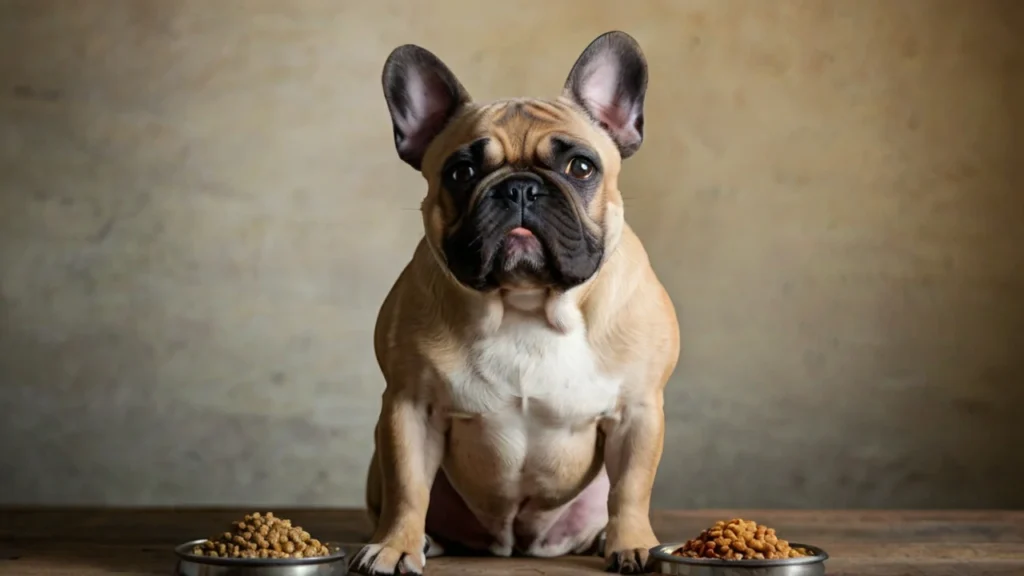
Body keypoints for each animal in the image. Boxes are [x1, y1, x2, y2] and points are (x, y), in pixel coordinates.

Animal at [352, 31, 679, 573]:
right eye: (461, 172)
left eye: (580, 167)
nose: (519, 187)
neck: (527, 303)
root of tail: (517, 544)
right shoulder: (408, 408)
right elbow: (408, 489)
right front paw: (395, 545)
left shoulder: (637, 411)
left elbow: (632, 488)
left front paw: (632, 543)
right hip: (379, 460)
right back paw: (424, 541)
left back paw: (601, 538)